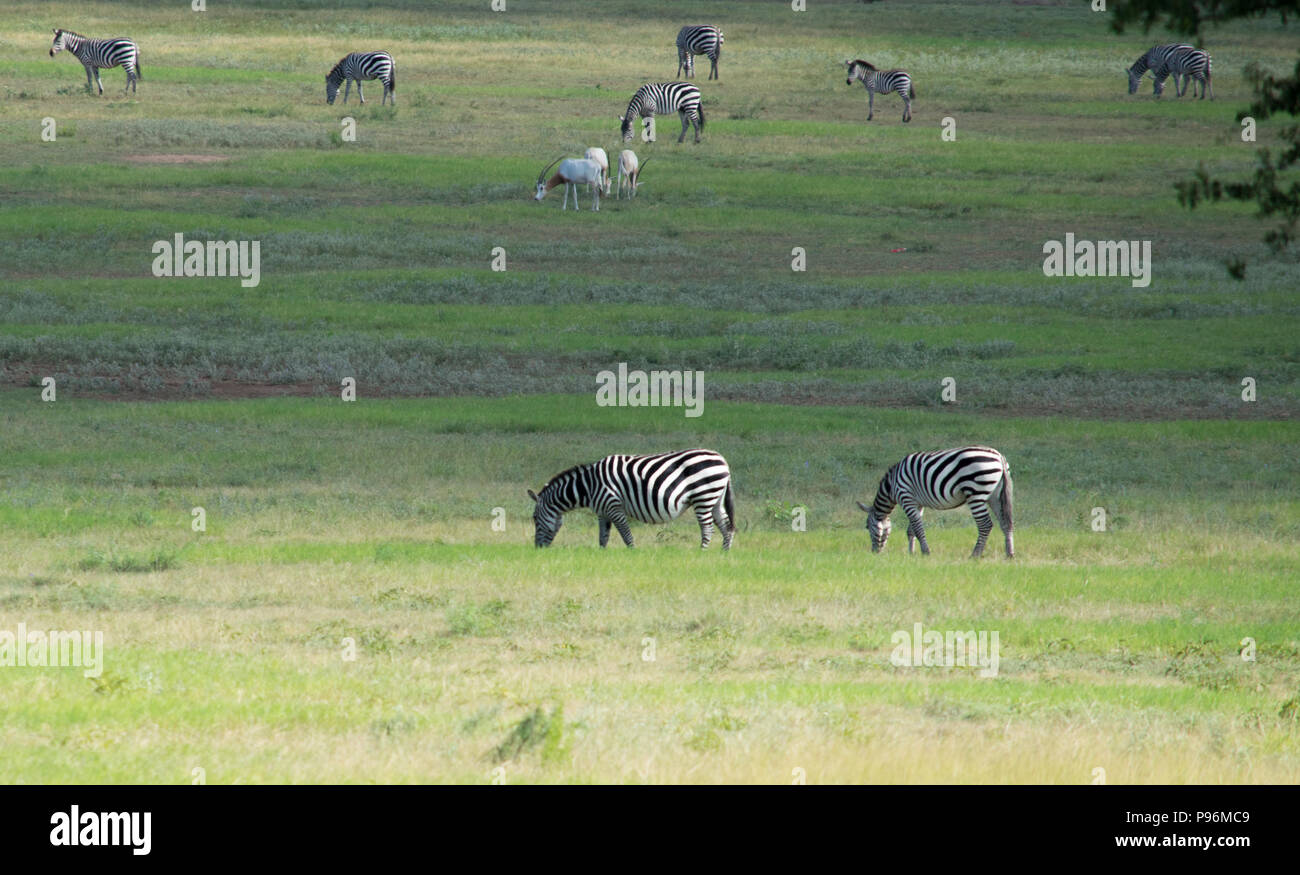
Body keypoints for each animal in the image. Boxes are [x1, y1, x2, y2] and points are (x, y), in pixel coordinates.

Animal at [525, 449, 733, 546]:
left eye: (534, 518)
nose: (538, 549)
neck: (589, 486)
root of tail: (722, 459)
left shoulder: (613, 507)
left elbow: (627, 536)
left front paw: (632, 554)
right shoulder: (602, 512)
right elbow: (603, 538)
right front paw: (601, 557)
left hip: (703, 496)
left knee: (707, 529)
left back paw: (702, 552)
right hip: (715, 498)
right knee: (726, 526)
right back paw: (723, 554)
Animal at [852, 444, 1013, 559]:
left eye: (867, 527)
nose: (874, 553)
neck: (892, 485)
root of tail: (999, 457)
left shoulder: (906, 498)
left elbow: (917, 528)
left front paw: (925, 552)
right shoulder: (917, 504)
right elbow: (911, 530)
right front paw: (911, 553)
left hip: (976, 493)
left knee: (985, 524)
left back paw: (975, 555)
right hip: (995, 495)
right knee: (1005, 522)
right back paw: (1009, 554)